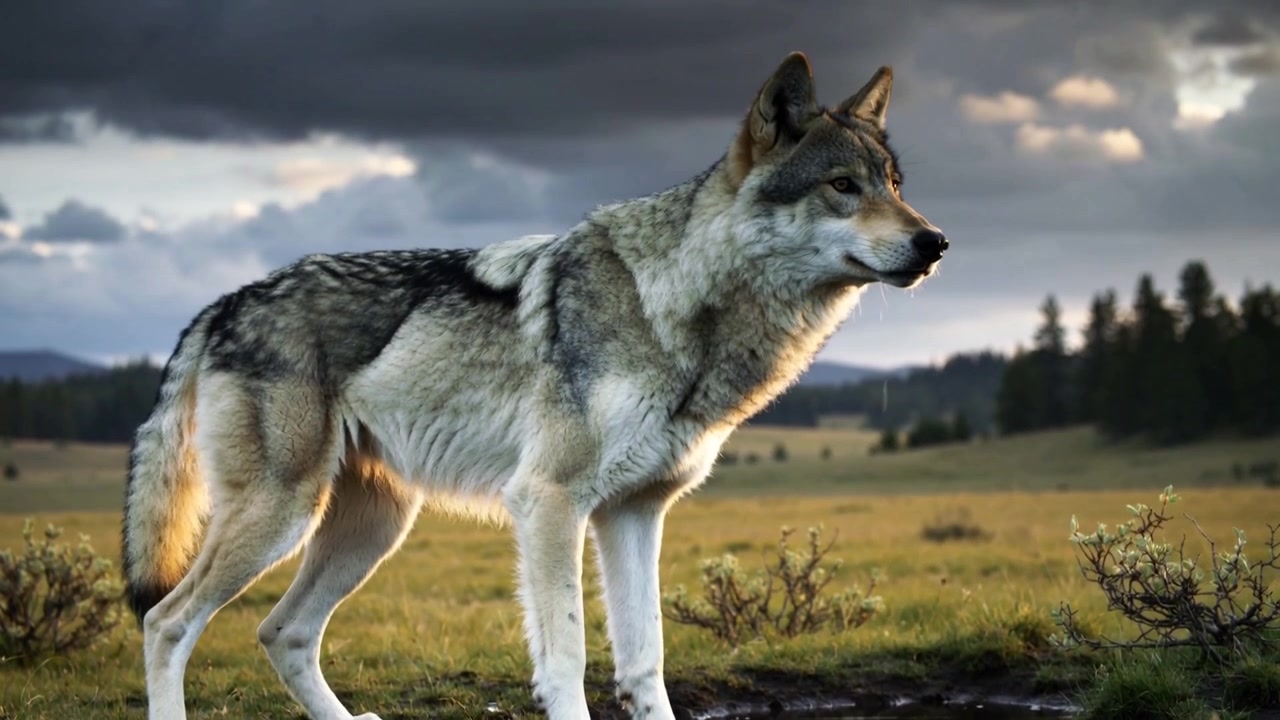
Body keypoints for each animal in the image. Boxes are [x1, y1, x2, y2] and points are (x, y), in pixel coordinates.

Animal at [122, 52, 947, 720]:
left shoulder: (635, 513)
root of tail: (225, 302)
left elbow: (645, 661)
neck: (673, 306)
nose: (935, 242)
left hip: (373, 527)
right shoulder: (550, 502)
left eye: (895, 185)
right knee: (167, 621)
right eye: (842, 186)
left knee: (282, 631)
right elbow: (569, 660)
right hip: (282, 516)